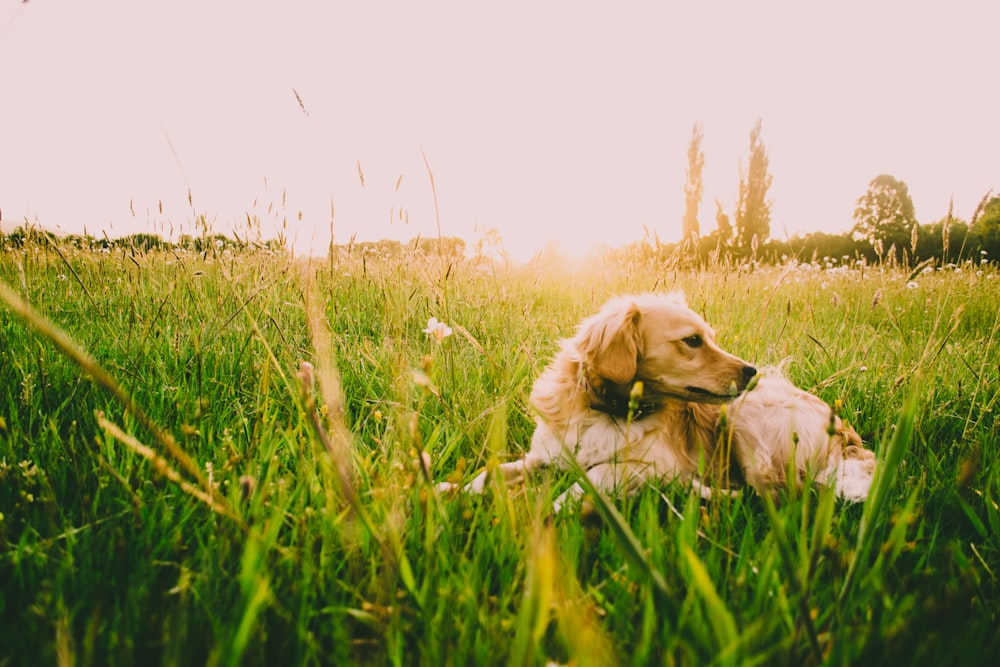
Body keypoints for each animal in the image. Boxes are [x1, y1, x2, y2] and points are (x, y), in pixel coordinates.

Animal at [438, 294, 876, 508]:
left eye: (708, 338)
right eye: (693, 341)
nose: (752, 372)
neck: (611, 412)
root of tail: (844, 435)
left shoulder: (653, 464)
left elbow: (596, 476)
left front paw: (552, 509)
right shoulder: (546, 456)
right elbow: (492, 472)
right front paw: (449, 490)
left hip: (744, 419)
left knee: (775, 495)